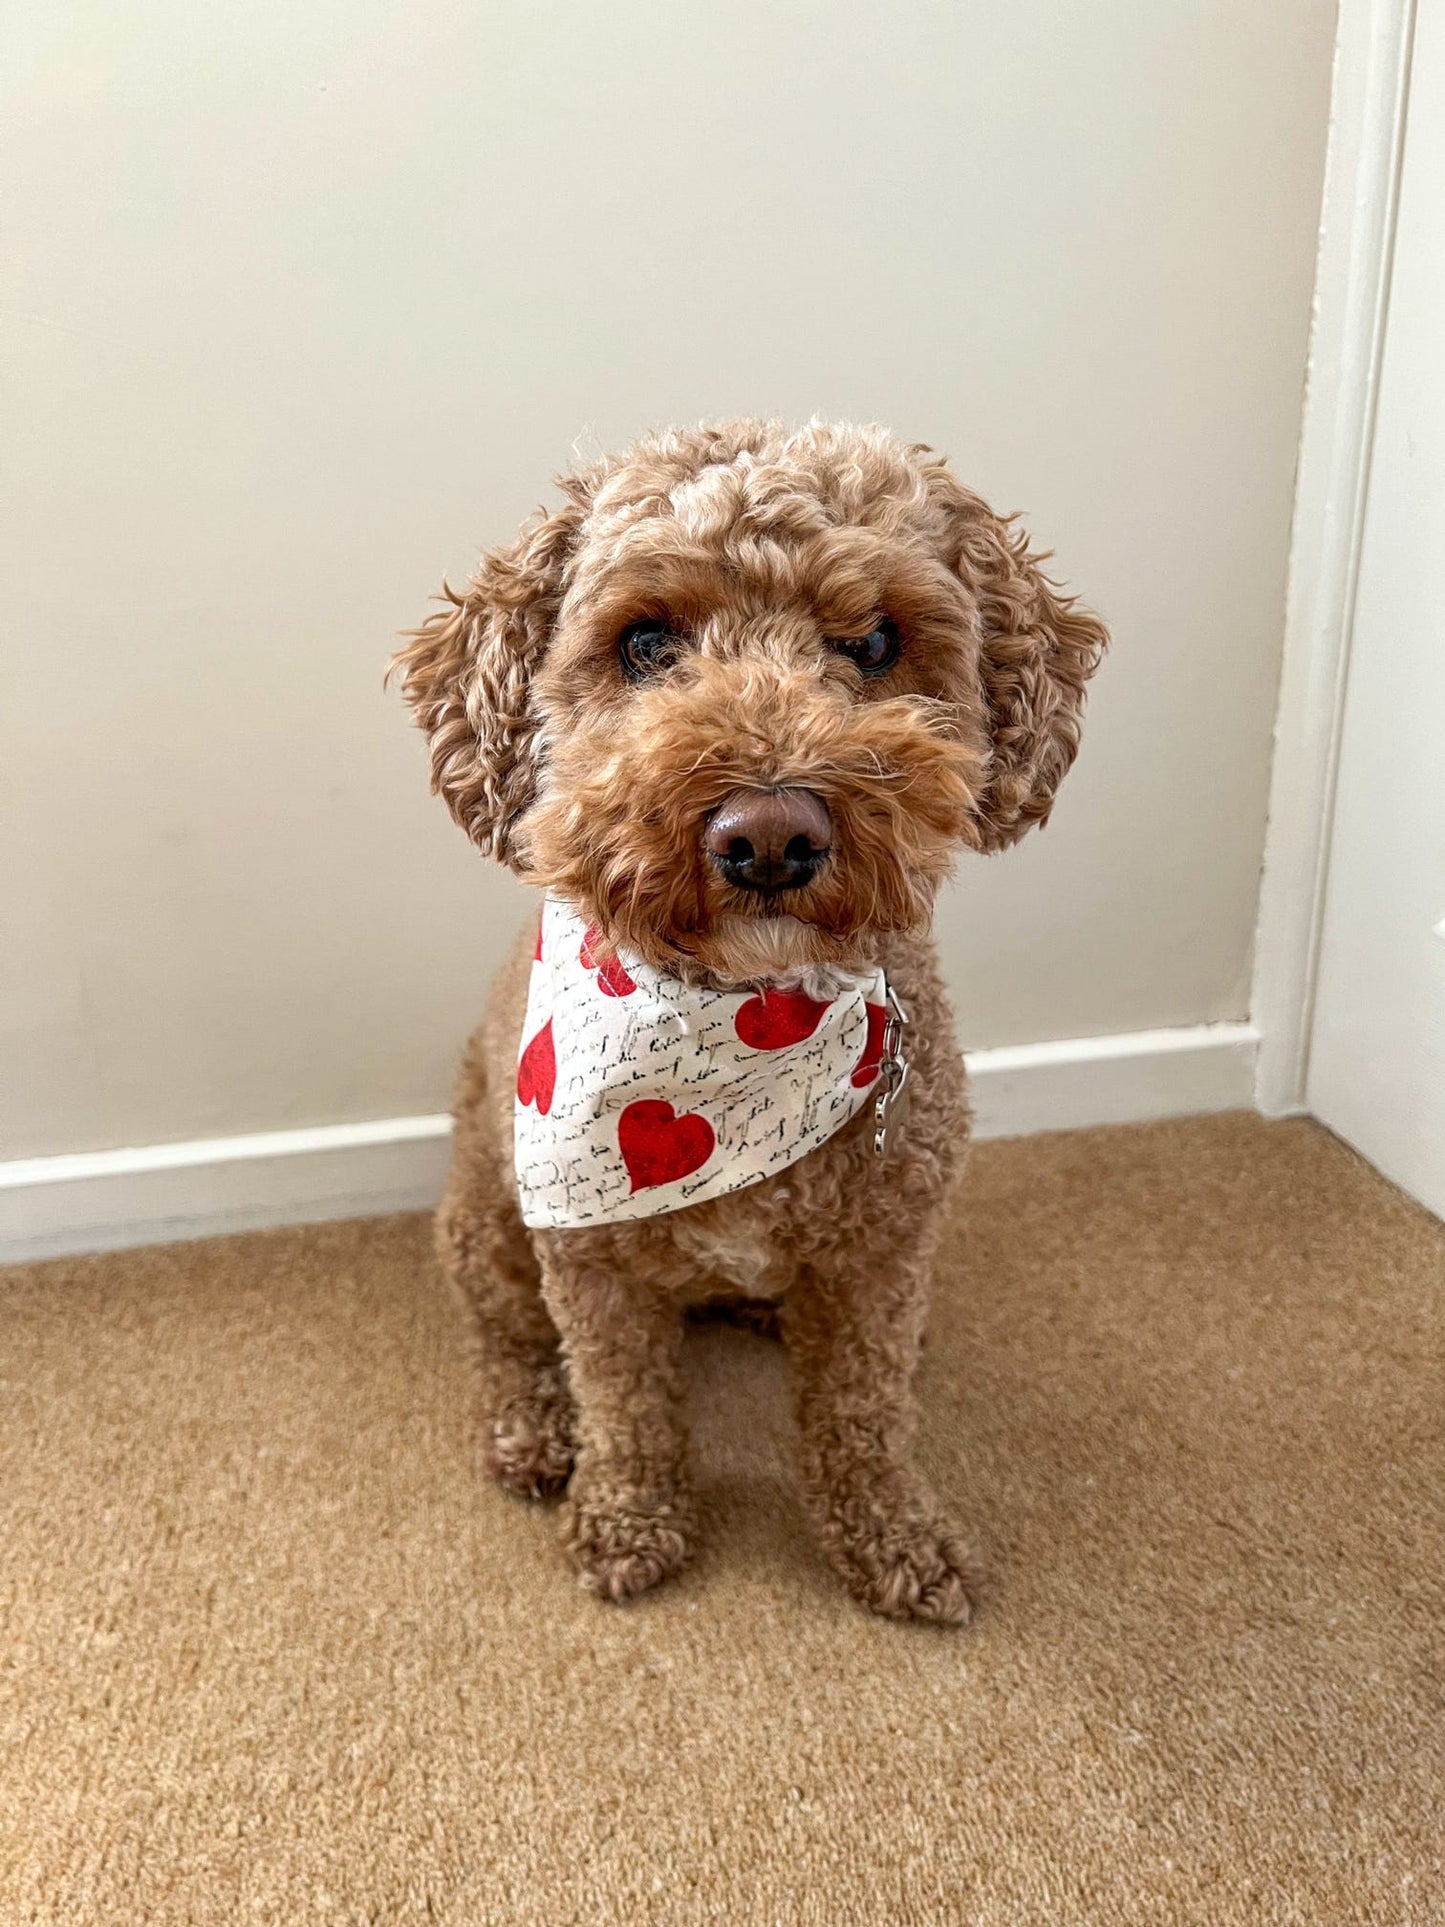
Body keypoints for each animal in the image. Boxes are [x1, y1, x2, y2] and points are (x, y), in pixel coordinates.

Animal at [396, 422, 1109, 1626]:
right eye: (644, 643)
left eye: (873, 640)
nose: (768, 833)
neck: (744, 1027)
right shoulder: (588, 1264)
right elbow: (626, 1408)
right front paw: (627, 1522)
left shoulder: (879, 1254)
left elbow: (863, 1414)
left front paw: (893, 1540)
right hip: (487, 1222)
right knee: (509, 1343)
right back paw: (533, 1434)